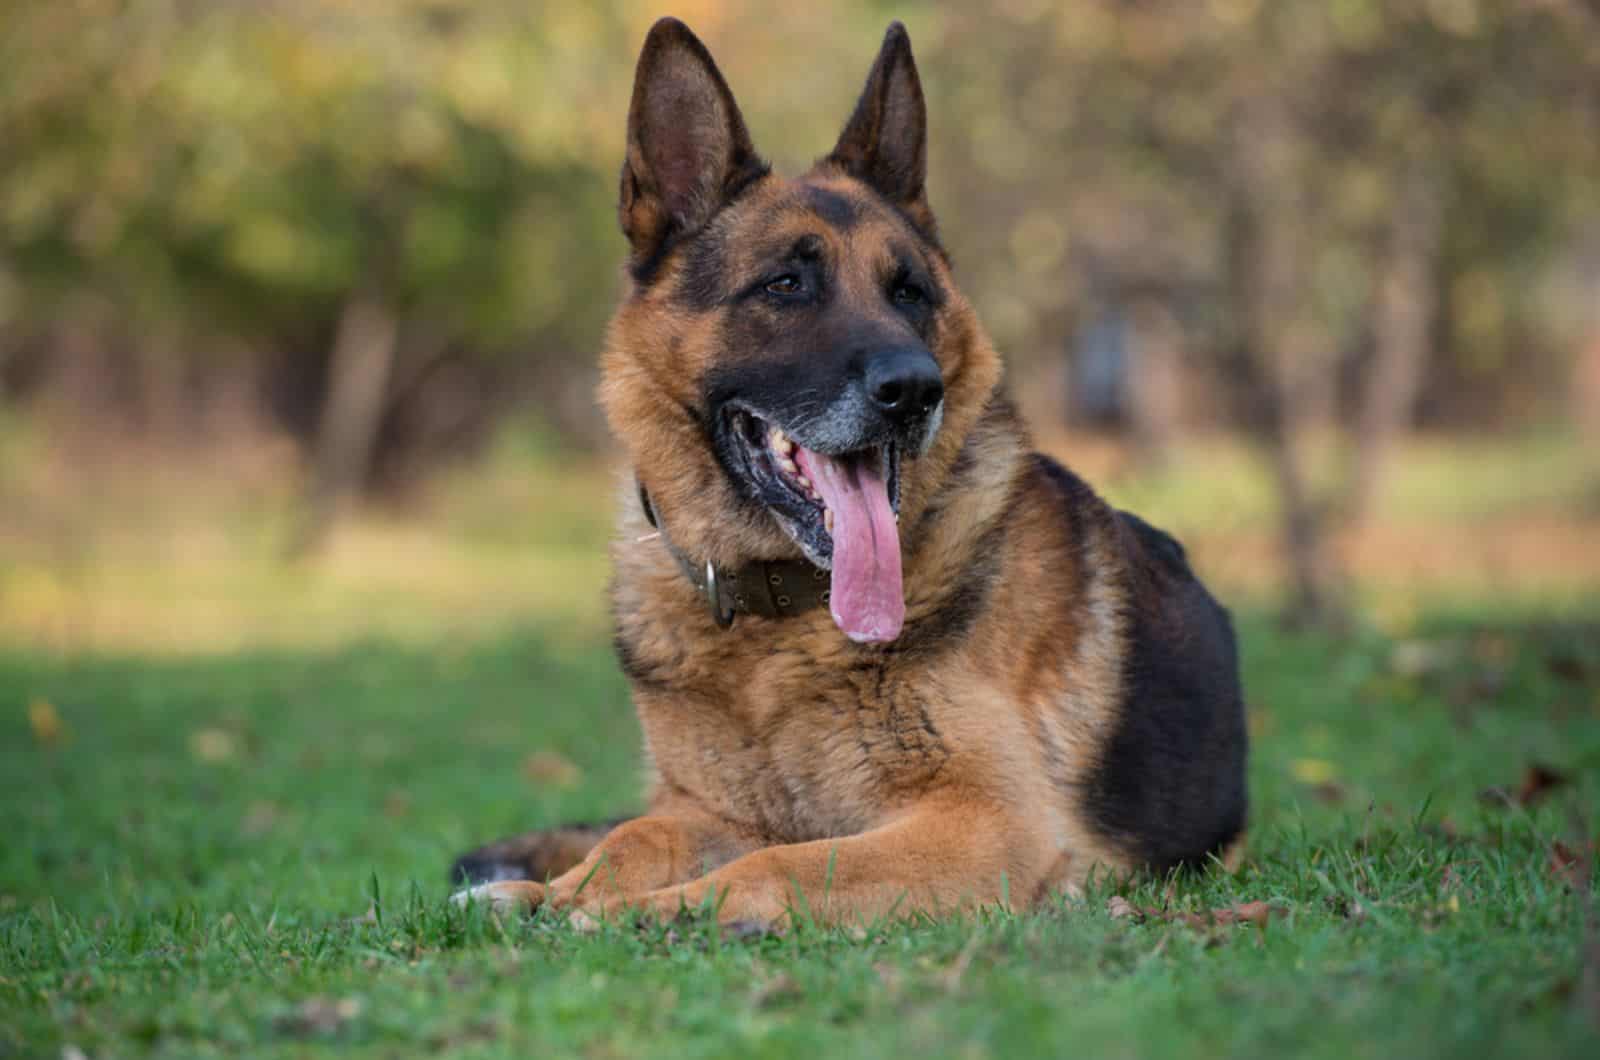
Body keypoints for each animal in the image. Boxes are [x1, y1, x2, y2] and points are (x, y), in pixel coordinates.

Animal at [454, 16, 1248, 928]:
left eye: (910, 293)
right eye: (785, 284)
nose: (916, 391)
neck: (778, 625)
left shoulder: (988, 824)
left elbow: (785, 863)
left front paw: (652, 910)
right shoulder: (705, 809)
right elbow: (632, 838)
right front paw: (549, 892)